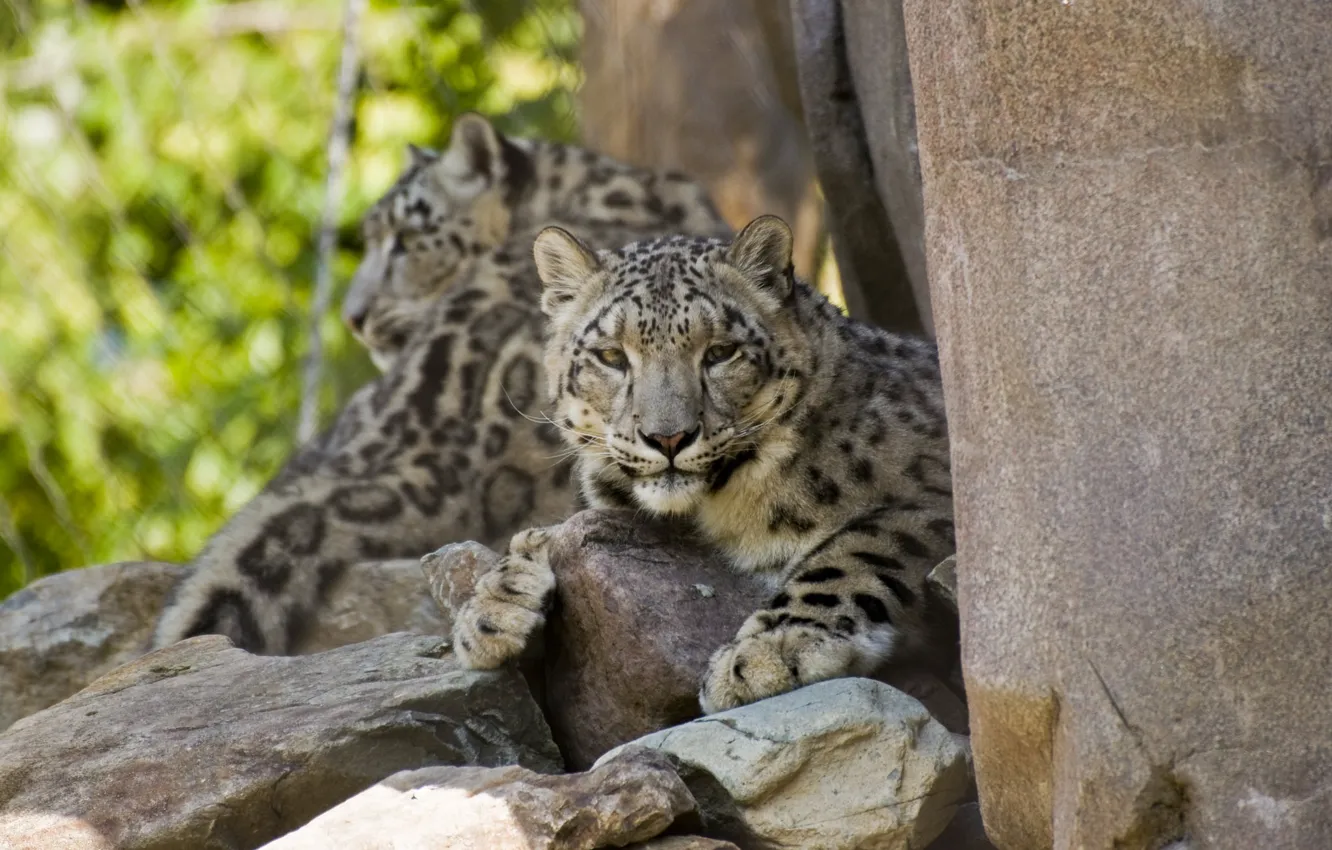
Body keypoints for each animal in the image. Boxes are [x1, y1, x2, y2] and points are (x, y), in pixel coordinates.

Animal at [451, 214, 957, 714]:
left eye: (720, 352)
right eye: (611, 356)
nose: (667, 437)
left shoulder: (931, 499)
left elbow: (853, 551)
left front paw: (770, 650)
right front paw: (496, 604)